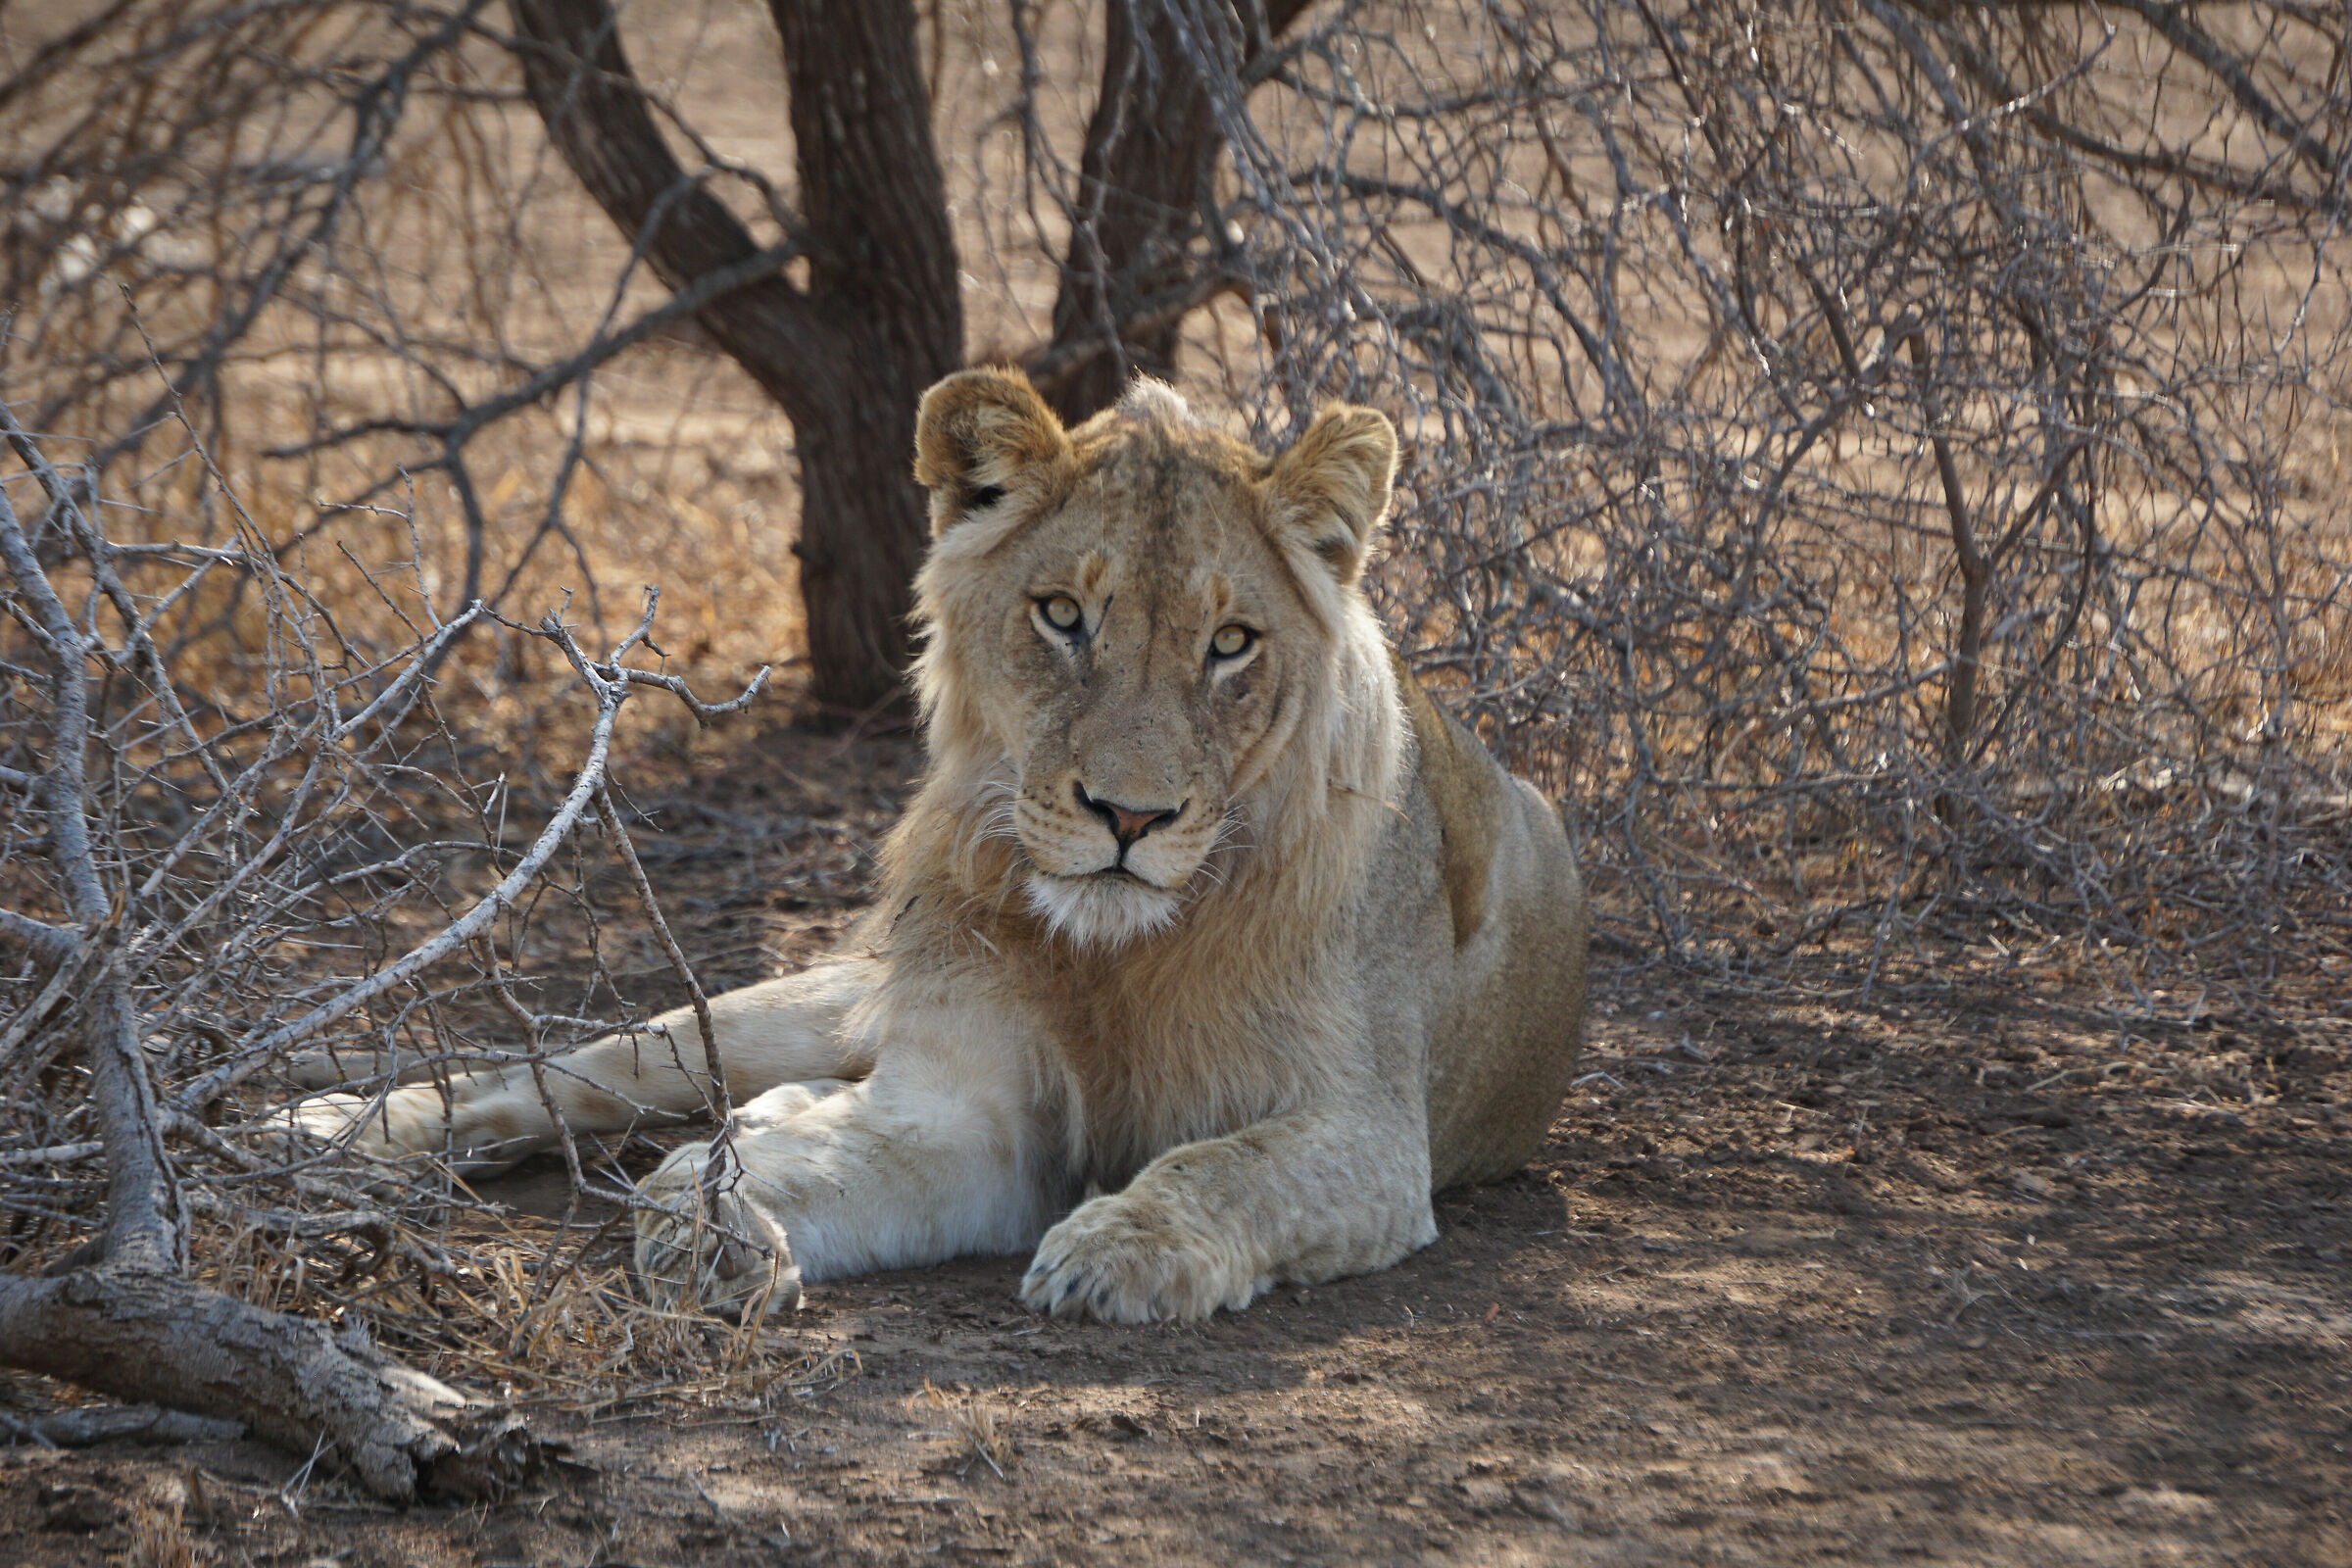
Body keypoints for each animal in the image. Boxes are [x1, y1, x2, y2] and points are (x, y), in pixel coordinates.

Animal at [280, 370, 1590, 1324]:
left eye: (1231, 643)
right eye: (1062, 616)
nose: (1130, 819)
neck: (1114, 955)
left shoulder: (1368, 1135)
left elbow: (1221, 1166)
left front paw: (1117, 1249)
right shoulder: (977, 1123)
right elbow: (781, 1167)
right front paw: (714, 1231)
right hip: (785, 1009)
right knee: (562, 1072)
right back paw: (331, 1129)